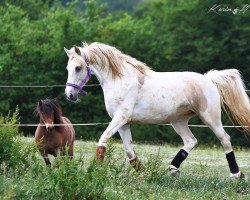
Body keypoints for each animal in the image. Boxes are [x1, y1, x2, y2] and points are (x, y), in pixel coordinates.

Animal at [64, 42, 248, 178]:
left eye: (78, 68)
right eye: (68, 68)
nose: (70, 94)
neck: (119, 80)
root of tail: (208, 79)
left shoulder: (120, 117)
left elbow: (103, 140)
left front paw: (94, 170)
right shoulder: (123, 123)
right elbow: (129, 152)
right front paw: (144, 174)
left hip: (211, 118)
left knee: (225, 139)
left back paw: (236, 174)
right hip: (178, 121)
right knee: (191, 141)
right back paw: (173, 169)